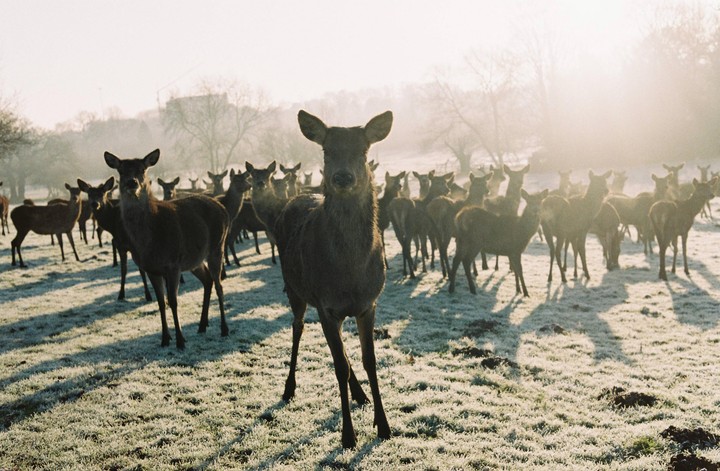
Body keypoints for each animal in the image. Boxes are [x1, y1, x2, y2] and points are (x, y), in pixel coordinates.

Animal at [104, 149, 230, 349]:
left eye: (142, 169)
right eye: (121, 170)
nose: (132, 183)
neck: (149, 242)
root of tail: (223, 208)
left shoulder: (173, 265)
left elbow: (173, 301)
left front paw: (180, 340)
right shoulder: (152, 269)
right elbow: (161, 302)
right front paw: (164, 338)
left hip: (217, 247)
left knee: (219, 285)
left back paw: (224, 329)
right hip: (194, 259)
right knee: (207, 280)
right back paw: (202, 325)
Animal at [273, 110, 392, 449]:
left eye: (363, 150)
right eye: (326, 150)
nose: (342, 177)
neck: (349, 273)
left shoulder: (368, 304)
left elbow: (367, 360)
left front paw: (383, 425)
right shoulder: (327, 307)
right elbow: (339, 367)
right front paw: (348, 436)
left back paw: (361, 395)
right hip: (295, 290)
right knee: (298, 328)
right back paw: (289, 387)